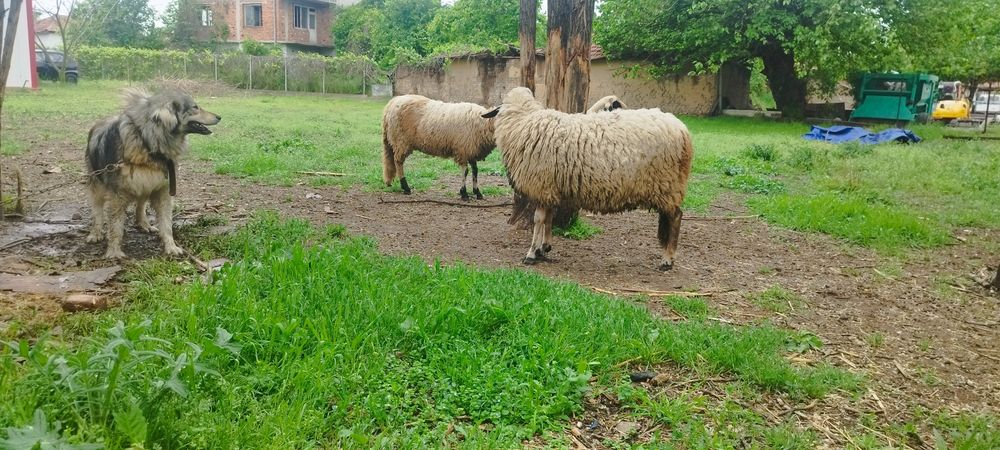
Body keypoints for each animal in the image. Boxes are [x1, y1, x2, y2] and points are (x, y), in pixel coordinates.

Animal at [482, 87, 693, 271]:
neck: (522, 123)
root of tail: (683, 130)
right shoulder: (551, 187)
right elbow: (549, 218)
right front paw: (545, 247)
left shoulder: (541, 185)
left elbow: (538, 220)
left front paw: (532, 253)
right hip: (668, 186)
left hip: (668, 184)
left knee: (676, 217)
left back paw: (667, 260)